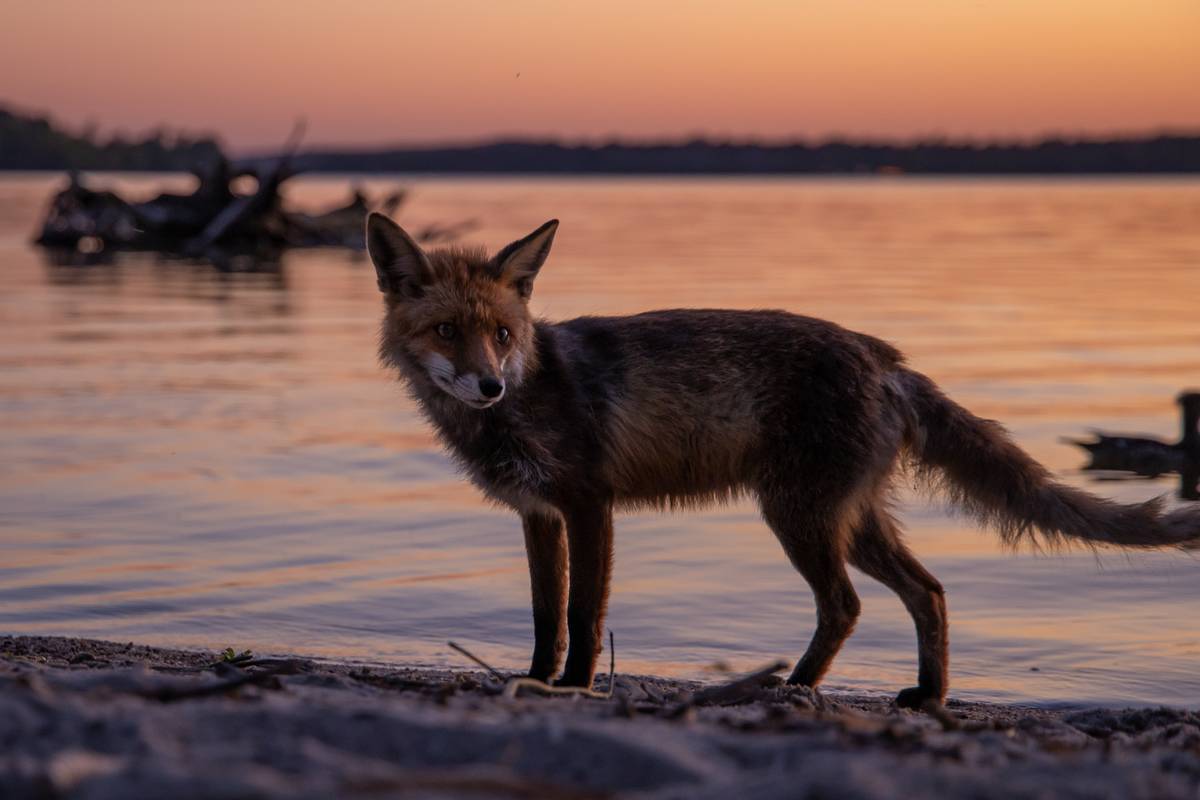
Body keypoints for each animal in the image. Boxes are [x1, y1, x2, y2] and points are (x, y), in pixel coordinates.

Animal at [365, 212, 1200, 708]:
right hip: (848, 521)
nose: (489, 385)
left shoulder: (588, 504)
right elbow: (544, 614)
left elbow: (582, 610)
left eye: (503, 334)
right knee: (928, 592)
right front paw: (536, 682)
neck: (526, 398)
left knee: (847, 606)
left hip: (800, 518)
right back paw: (926, 697)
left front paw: (573, 689)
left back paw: (792, 688)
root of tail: (885, 358)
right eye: (447, 331)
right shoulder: (539, 514)